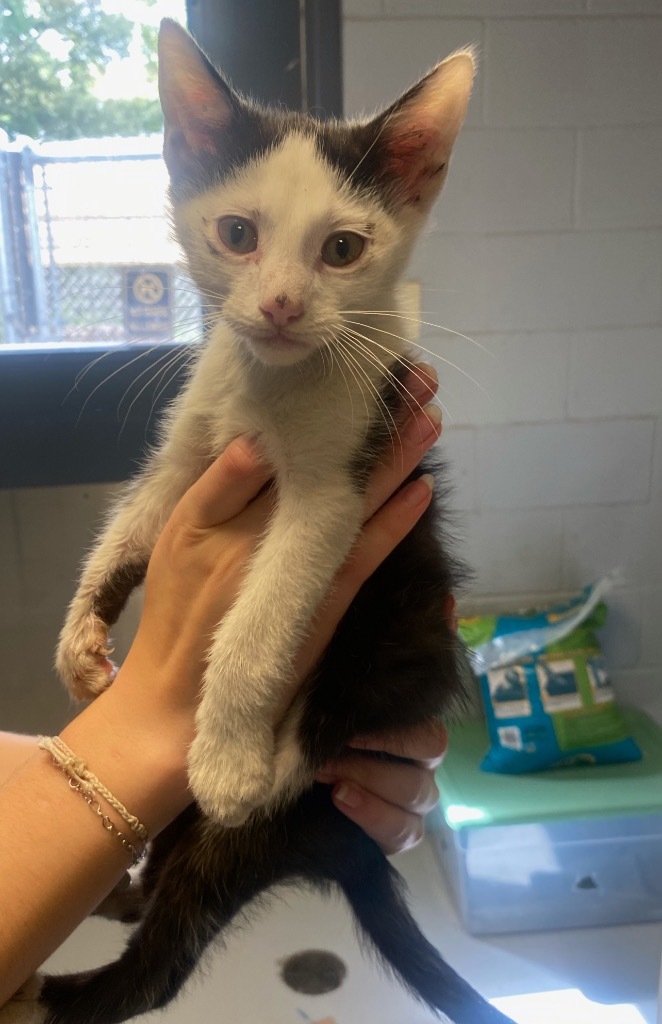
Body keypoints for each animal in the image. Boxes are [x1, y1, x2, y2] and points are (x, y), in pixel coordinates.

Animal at [2, 22, 514, 1024]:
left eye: (343, 249)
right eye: (237, 235)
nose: (279, 306)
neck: (268, 385)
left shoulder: (337, 491)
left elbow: (258, 621)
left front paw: (227, 754)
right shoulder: (194, 444)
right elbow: (136, 518)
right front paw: (80, 639)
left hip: (388, 653)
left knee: (166, 951)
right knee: (151, 896)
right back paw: (114, 885)